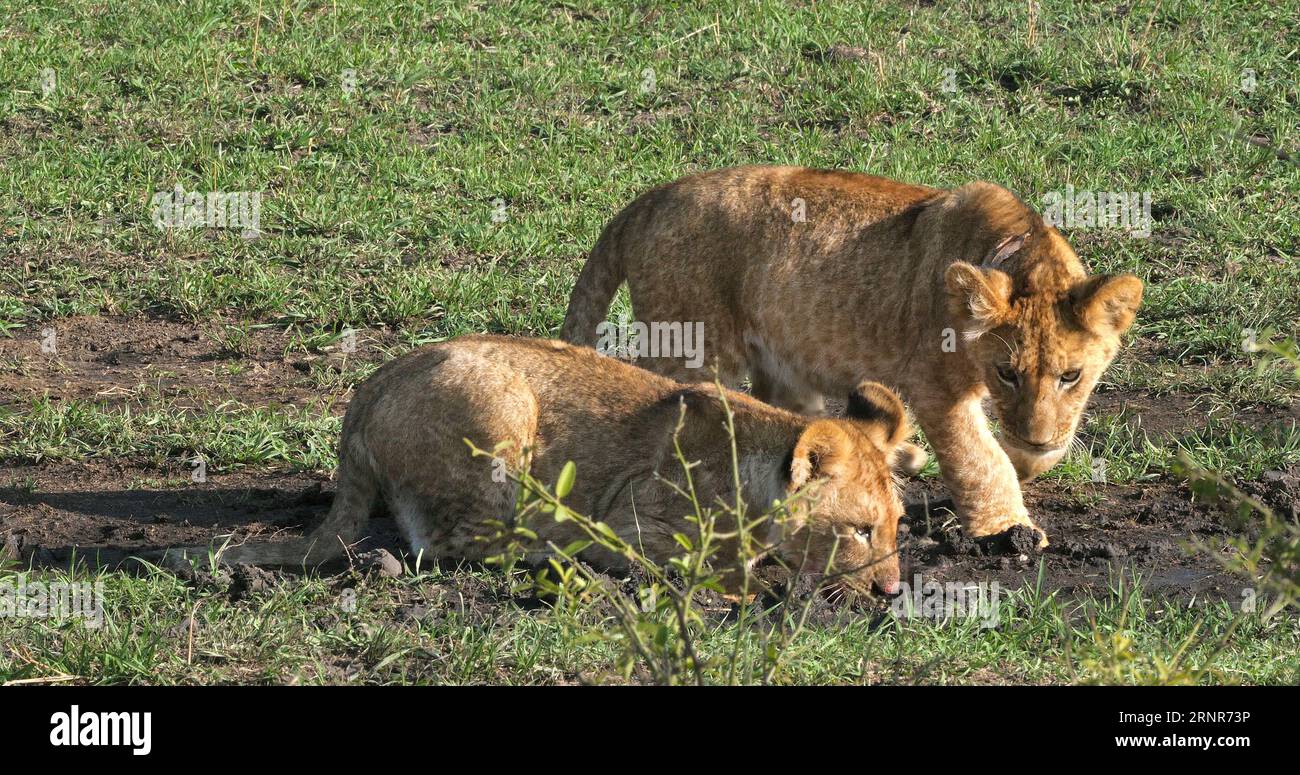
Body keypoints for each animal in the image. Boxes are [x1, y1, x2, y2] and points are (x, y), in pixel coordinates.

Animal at [163, 335, 918, 596]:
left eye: (895, 526)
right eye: (857, 528)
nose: (890, 592)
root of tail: (363, 395)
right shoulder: (640, 516)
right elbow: (721, 565)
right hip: (501, 399)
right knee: (454, 543)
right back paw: (564, 551)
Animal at [561, 166, 1143, 546]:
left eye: (1071, 376)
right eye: (1007, 373)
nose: (1038, 437)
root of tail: (648, 200)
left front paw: (1030, 462)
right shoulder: (935, 385)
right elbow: (978, 459)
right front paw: (1008, 529)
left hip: (784, 355)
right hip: (689, 339)